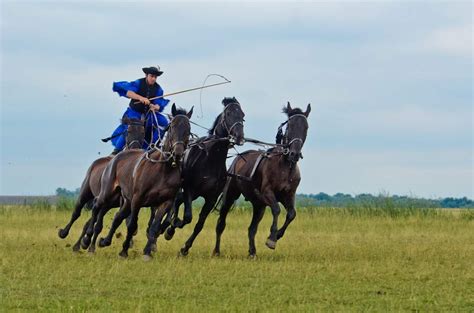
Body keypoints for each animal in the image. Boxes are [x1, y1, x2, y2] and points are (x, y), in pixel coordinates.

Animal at [56, 116, 144, 250]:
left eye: (143, 132)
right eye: (128, 131)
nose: (136, 148)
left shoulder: (117, 202)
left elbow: (102, 223)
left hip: (107, 203)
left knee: (92, 221)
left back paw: (79, 245)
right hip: (86, 192)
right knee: (77, 212)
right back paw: (64, 233)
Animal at [83, 103, 193, 258]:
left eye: (188, 129)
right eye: (171, 126)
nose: (177, 153)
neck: (163, 169)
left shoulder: (165, 201)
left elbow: (154, 226)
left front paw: (147, 252)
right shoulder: (137, 198)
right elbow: (132, 225)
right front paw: (124, 251)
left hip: (125, 200)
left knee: (117, 216)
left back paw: (102, 241)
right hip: (108, 192)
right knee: (97, 206)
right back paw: (87, 240)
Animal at [162, 96, 244, 255]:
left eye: (242, 115)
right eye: (228, 114)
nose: (239, 137)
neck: (211, 158)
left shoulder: (211, 198)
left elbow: (199, 224)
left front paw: (185, 248)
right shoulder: (190, 189)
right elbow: (187, 217)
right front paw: (171, 228)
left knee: (178, 201)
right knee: (177, 202)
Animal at [212, 101, 310, 258]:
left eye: (306, 127)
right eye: (290, 126)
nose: (294, 154)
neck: (285, 167)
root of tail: (237, 159)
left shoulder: (288, 195)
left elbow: (291, 214)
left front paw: (277, 235)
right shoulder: (268, 192)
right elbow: (276, 209)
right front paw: (272, 238)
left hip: (259, 206)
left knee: (252, 228)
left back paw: (252, 252)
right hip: (230, 196)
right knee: (221, 223)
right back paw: (216, 251)